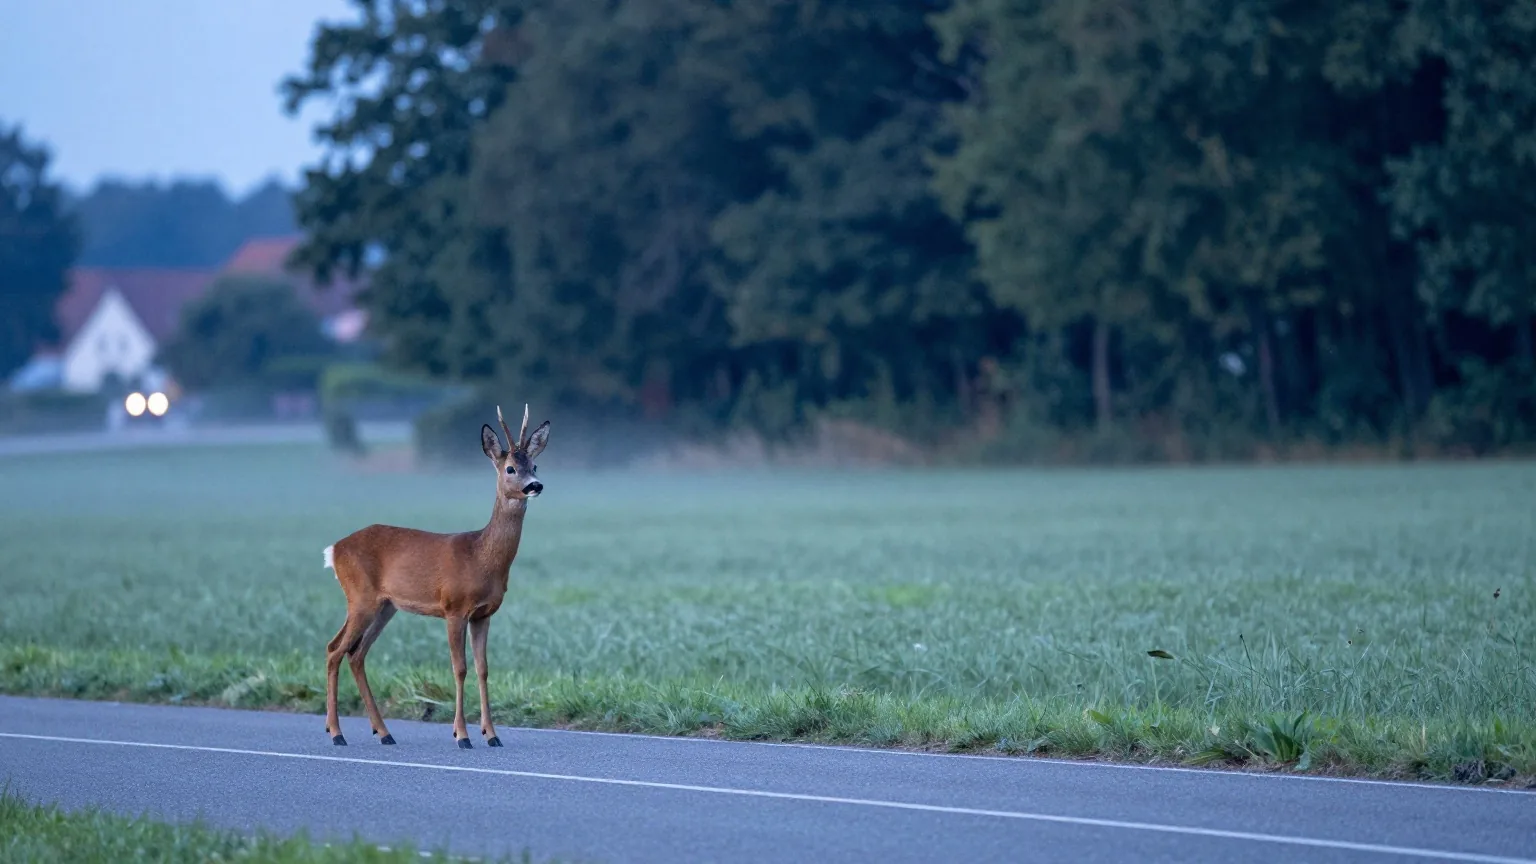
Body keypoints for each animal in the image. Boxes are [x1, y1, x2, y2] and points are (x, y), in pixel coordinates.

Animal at [321, 404, 550, 749]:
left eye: (534, 464)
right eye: (510, 468)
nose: (535, 485)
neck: (480, 556)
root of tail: (335, 549)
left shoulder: (484, 614)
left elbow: (483, 669)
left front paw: (492, 735)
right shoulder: (454, 608)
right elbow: (460, 668)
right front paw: (462, 735)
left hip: (385, 606)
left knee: (356, 653)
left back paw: (384, 732)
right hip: (360, 597)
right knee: (335, 650)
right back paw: (337, 733)